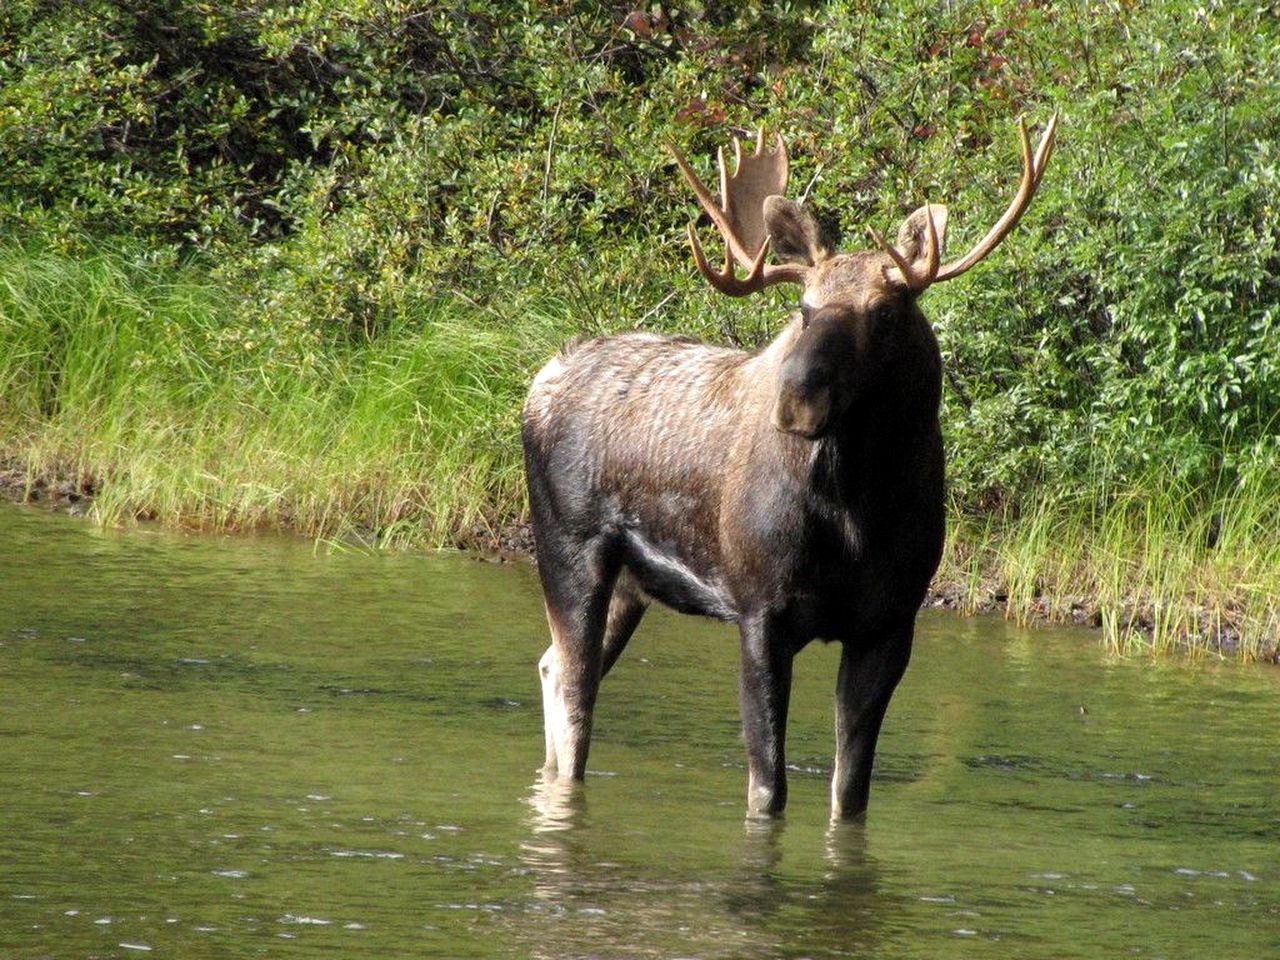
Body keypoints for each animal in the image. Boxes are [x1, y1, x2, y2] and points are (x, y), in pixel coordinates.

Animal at [522, 112, 1059, 819]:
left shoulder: (889, 624)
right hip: (570, 549)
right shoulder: (760, 611)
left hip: (632, 586)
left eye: (884, 313)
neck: (858, 511)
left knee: (553, 670)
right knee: (575, 695)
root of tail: (539, 382)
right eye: (803, 311)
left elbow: (849, 792)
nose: (796, 397)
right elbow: (767, 788)